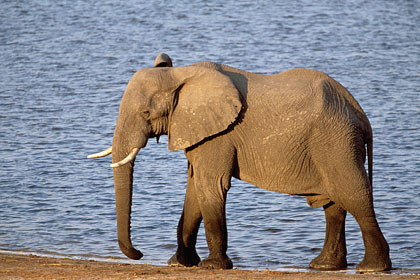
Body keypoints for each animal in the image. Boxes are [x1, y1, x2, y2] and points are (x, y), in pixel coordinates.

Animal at [87, 53, 392, 272]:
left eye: (146, 113)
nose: (138, 254)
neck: (181, 74)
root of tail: (361, 114)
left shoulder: (218, 135)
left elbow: (210, 187)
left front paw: (212, 266)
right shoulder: (200, 134)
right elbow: (194, 190)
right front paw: (180, 263)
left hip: (336, 141)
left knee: (353, 195)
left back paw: (371, 268)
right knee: (333, 203)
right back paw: (324, 266)